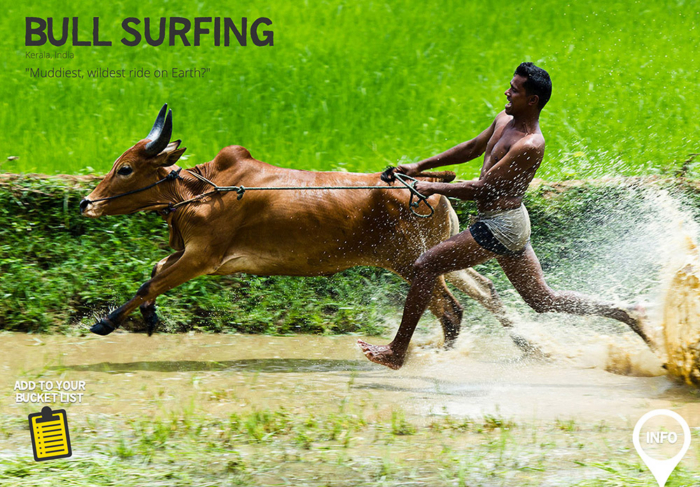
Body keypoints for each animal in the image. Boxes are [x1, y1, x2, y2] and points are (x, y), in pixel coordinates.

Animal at [80, 104, 517, 349]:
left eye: (125, 168)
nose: (87, 203)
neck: (202, 191)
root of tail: (427, 187)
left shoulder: (202, 258)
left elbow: (150, 282)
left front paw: (105, 322)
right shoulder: (190, 254)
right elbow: (153, 274)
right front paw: (145, 317)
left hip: (411, 264)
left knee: (452, 311)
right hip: (441, 257)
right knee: (485, 290)